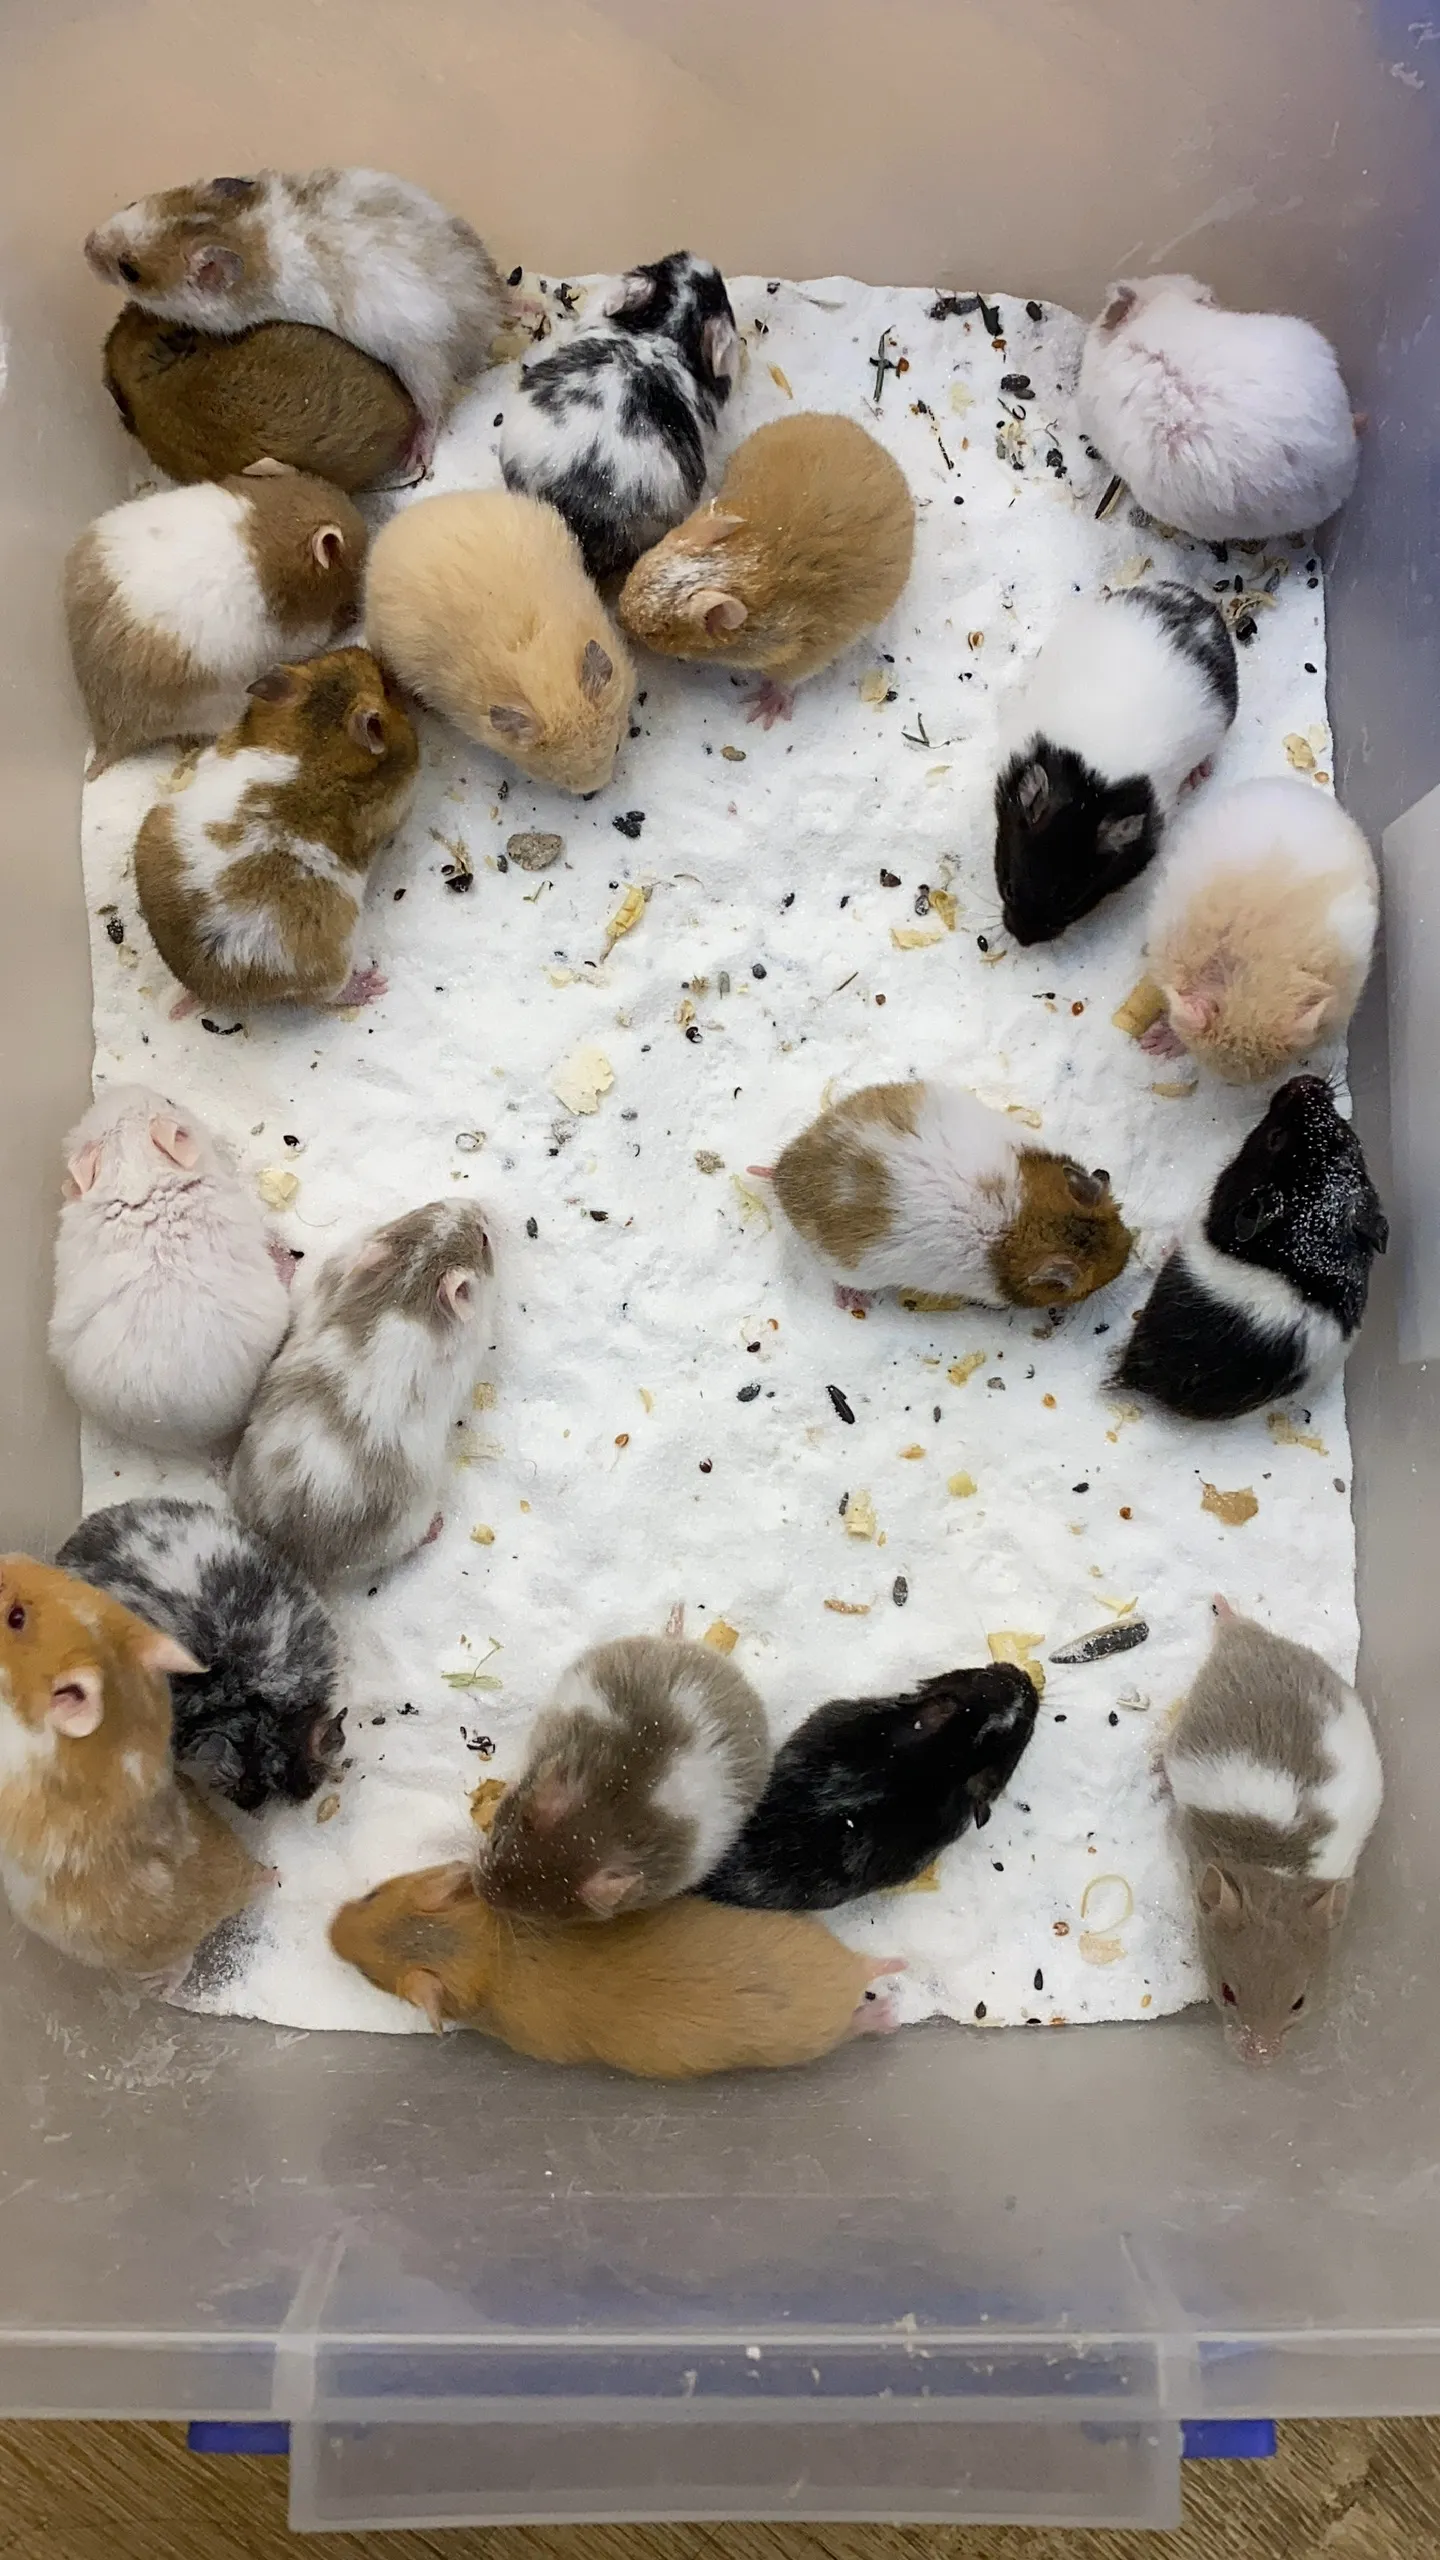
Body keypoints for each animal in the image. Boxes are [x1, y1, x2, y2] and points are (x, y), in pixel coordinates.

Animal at [85, 168, 505, 470]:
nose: (85, 245)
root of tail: (487, 306)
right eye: (133, 201)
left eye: (129, 270)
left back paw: (416, 457)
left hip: (420, 361)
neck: (242, 232)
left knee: (435, 408)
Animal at [133, 647, 418, 1013]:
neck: (316, 745)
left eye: (325, 658)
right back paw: (372, 986)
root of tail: (208, 985)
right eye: (385, 688)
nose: (369, 651)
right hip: (330, 964)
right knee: (326, 996)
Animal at [230, 1201, 495, 1587]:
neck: (411, 1280)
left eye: (424, 1207)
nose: (479, 1205)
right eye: (485, 1239)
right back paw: (437, 1526)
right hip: (405, 1527)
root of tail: (293, 1554)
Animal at [615, 413, 915, 726]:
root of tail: (875, 444)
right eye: (637, 566)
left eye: (654, 631)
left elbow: (786, 679)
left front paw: (762, 712)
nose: (617, 617)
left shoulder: (806, 652)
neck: (743, 568)